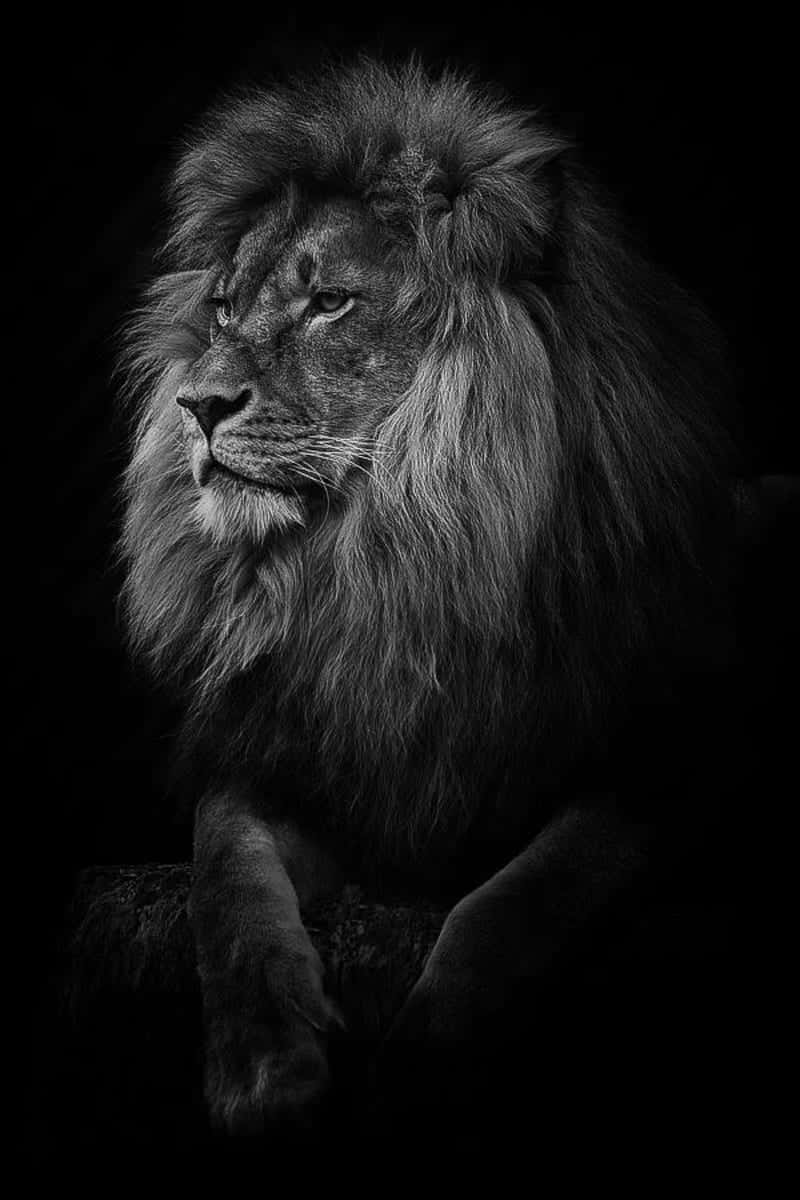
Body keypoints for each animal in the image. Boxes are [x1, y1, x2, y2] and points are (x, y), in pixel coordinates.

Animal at [121, 59, 742, 1136]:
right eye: (226, 308)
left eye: (330, 301)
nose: (194, 404)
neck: (391, 568)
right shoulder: (291, 759)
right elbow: (224, 880)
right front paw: (262, 1067)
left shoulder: (654, 767)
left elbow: (521, 898)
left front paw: (421, 1071)